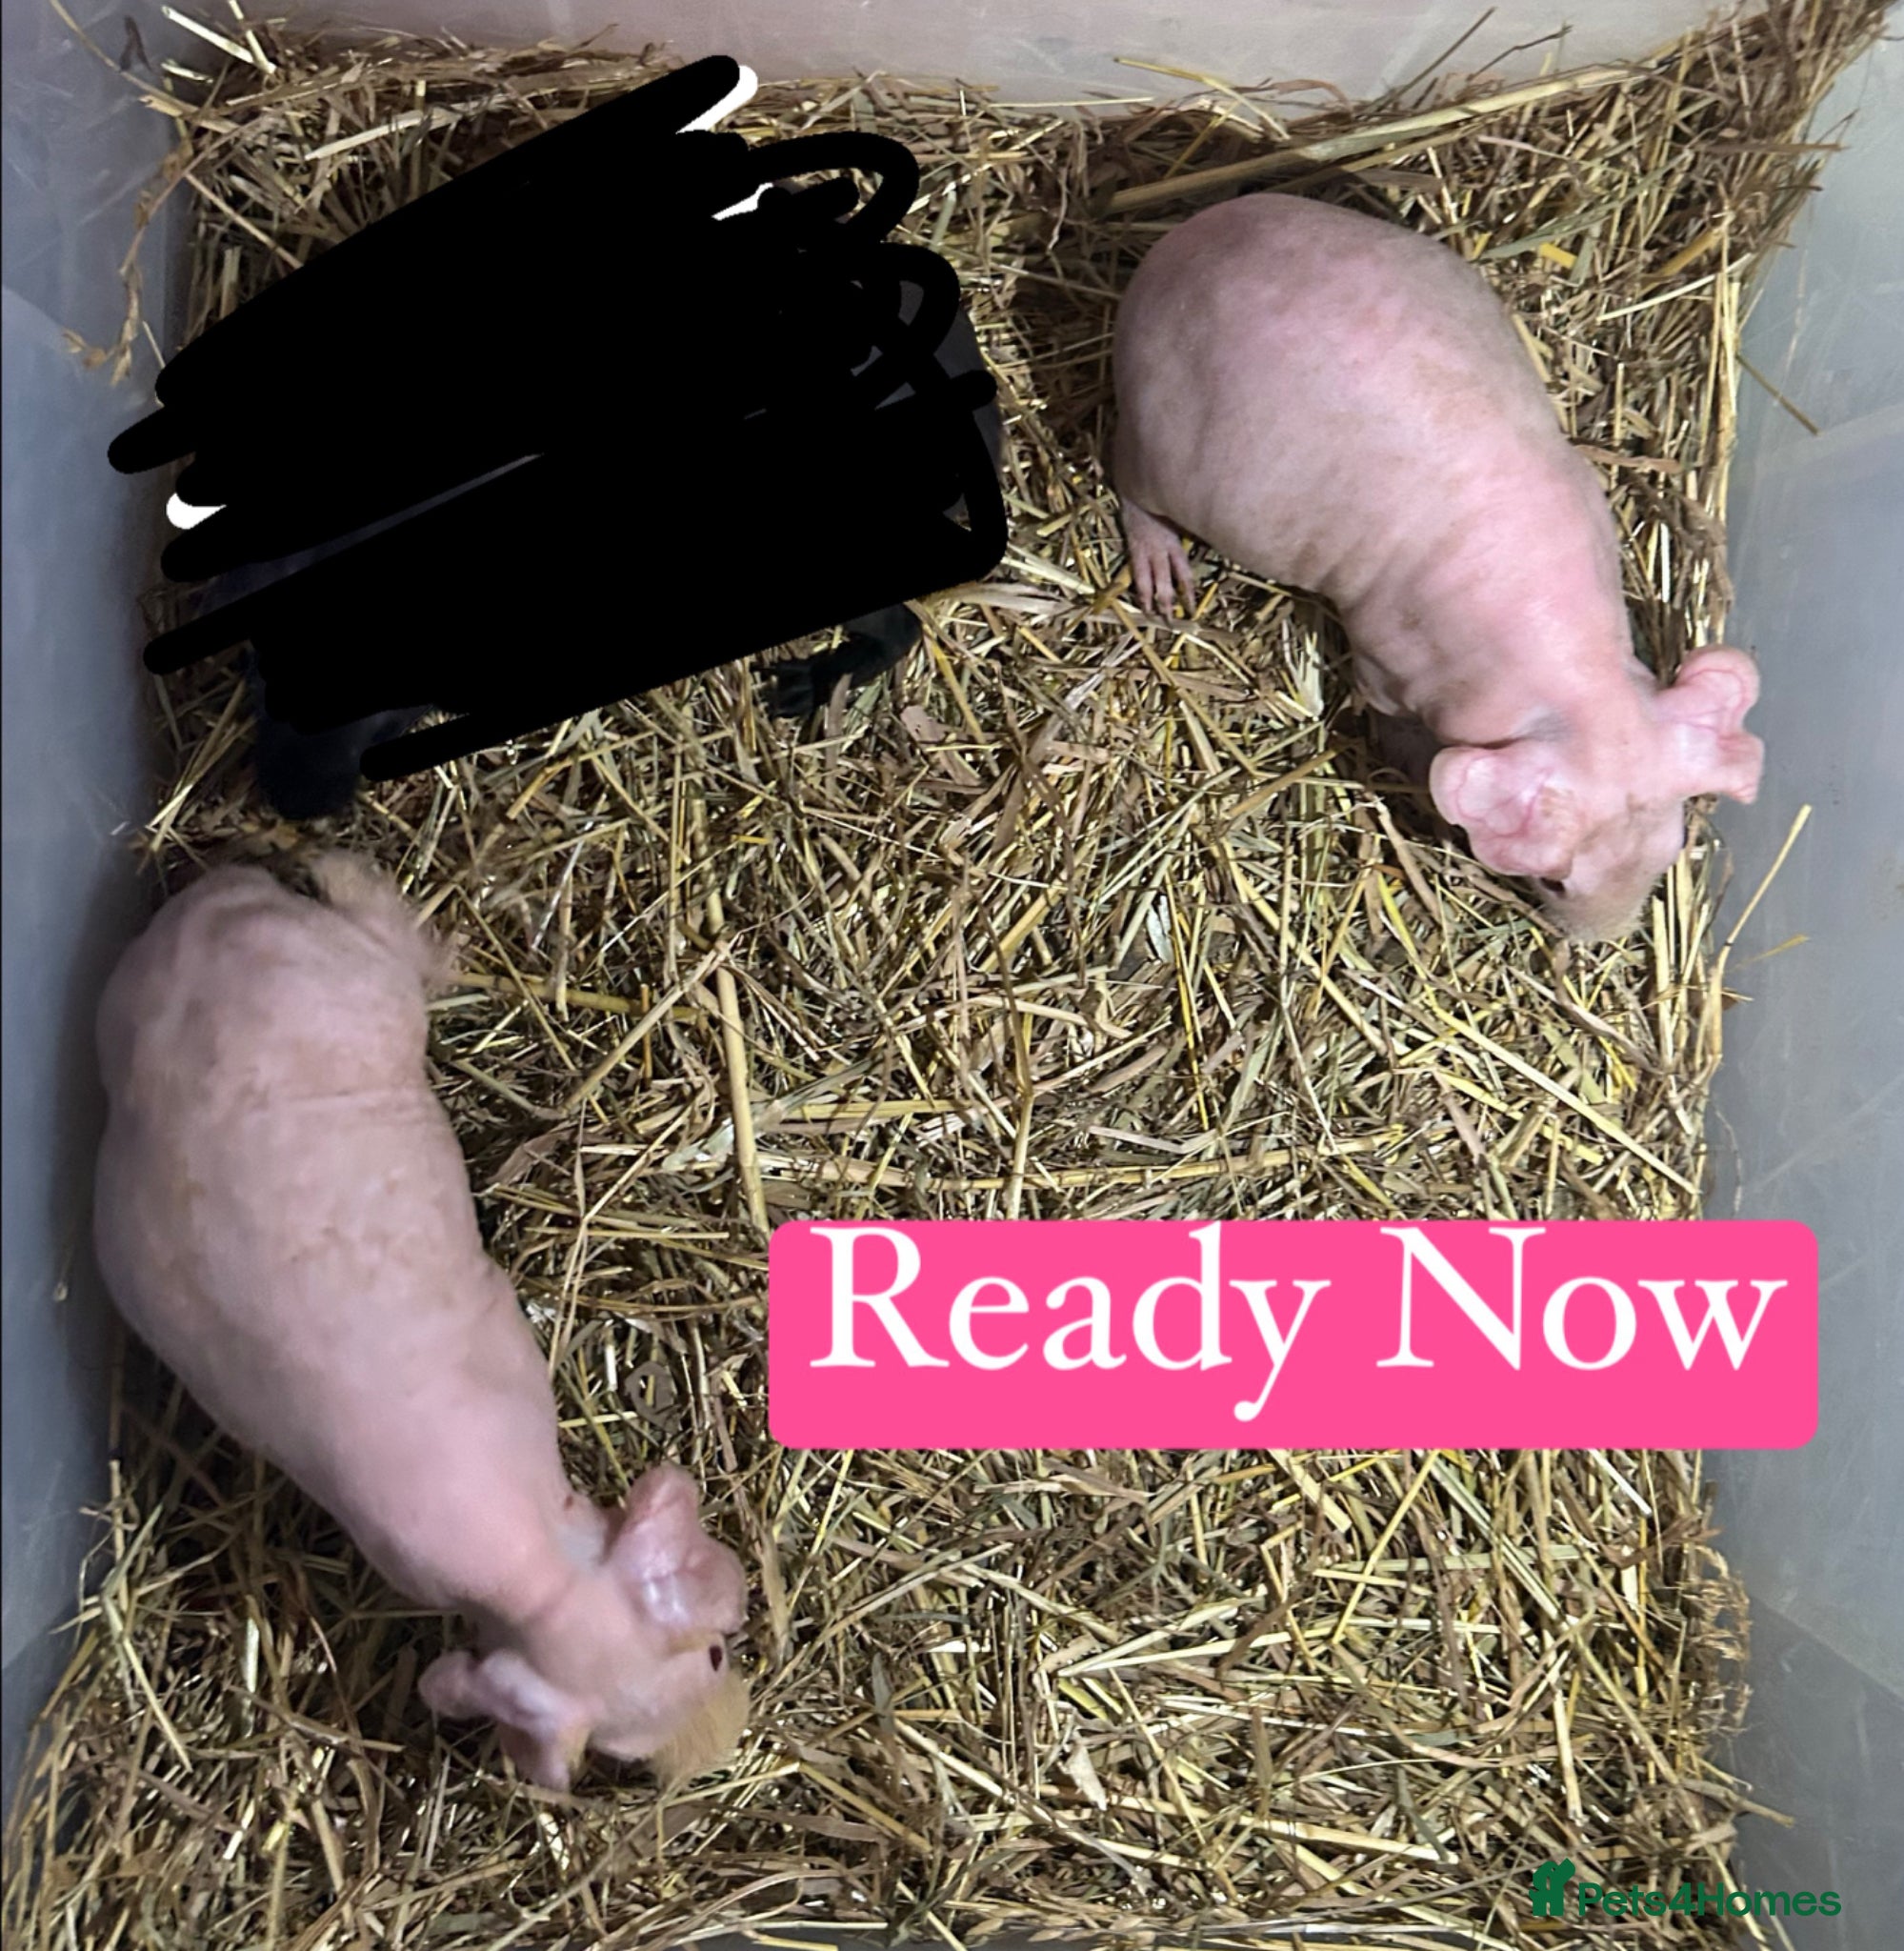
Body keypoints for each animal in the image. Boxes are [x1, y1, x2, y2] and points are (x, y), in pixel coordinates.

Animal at [91, 853, 750, 1791]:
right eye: (621, 1756)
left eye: (716, 1656)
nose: (728, 1746)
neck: (530, 1566)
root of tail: (212, 915)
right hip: (355, 979)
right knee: (370, 922)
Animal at [1112, 192, 1764, 940]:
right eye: (1552, 879)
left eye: (1673, 845)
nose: (1602, 941)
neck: (1576, 679)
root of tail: (1174, 247)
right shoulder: (1387, 656)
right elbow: (1384, 715)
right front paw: (1410, 766)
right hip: (1166, 442)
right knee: (1127, 478)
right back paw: (1161, 573)